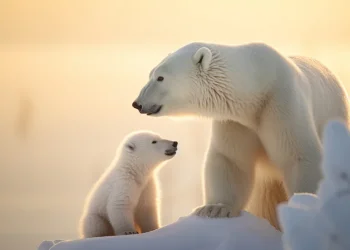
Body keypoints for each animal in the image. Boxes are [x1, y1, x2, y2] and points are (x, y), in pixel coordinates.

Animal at [131, 42, 348, 229]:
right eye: (151, 74)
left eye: (160, 77)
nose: (137, 103)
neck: (257, 86)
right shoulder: (236, 121)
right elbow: (231, 159)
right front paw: (215, 208)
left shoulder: (281, 103)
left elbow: (298, 154)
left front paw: (305, 202)